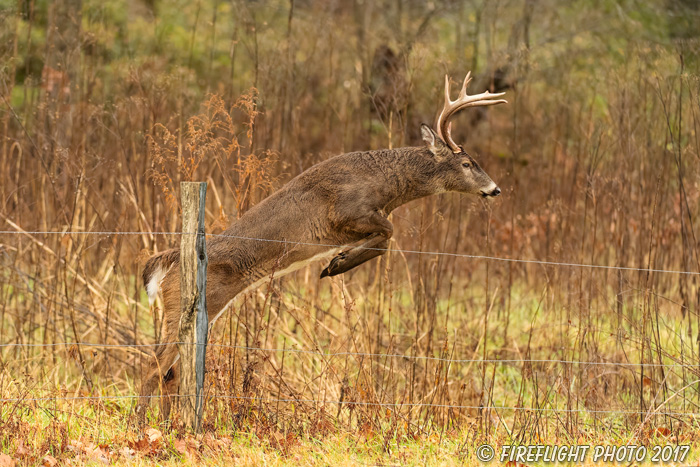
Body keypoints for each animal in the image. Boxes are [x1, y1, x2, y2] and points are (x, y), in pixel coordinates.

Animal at [138, 73, 508, 420]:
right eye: (466, 164)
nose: (495, 189)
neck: (387, 185)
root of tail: (170, 263)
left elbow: (384, 239)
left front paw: (337, 262)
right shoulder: (347, 212)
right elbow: (388, 236)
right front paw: (336, 265)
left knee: (170, 373)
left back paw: (169, 424)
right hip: (186, 306)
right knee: (155, 368)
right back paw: (143, 425)